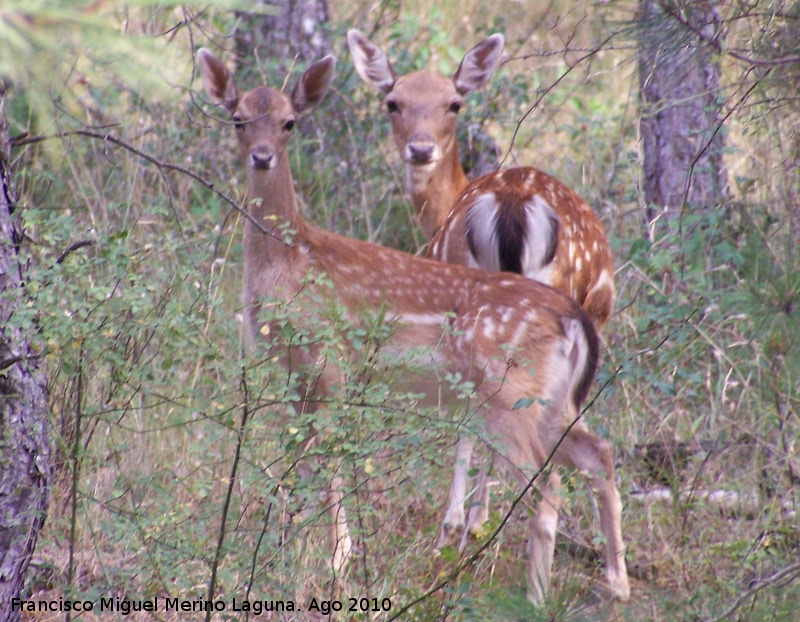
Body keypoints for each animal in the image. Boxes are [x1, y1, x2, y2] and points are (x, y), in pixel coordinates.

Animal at [197, 46, 628, 604]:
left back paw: (534, 594)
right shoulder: (293, 374)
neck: (288, 263)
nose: (263, 155)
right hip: (555, 400)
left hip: (509, 391)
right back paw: (615, 584)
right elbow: (302, 460)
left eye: (290, 122)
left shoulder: (330, 362)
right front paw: (290, 548)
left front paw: (337, 559)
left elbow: (329, 461)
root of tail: (570, 319)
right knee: (599, 453)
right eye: (238, 118)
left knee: (546, 480)